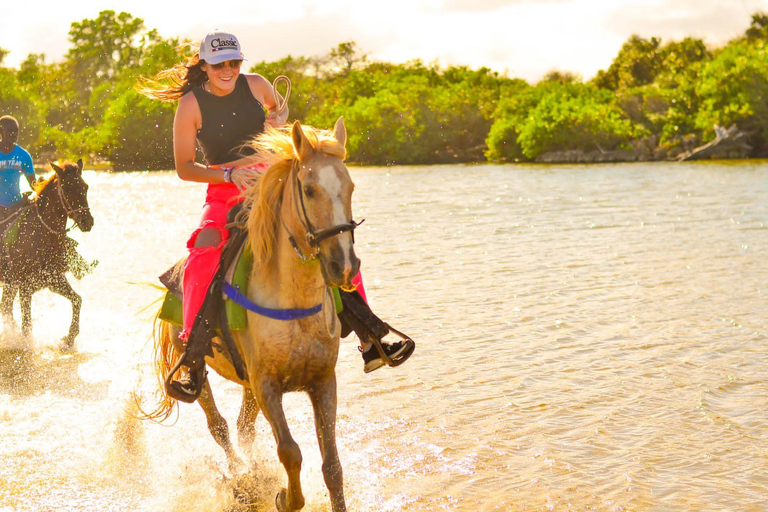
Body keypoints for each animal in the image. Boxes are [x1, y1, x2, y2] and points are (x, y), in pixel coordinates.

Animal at [0, 161, 94, 352]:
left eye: (85, 186)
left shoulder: (54, 280)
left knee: (5, 308)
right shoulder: (25, 286)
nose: (87, 222)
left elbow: (77, 300)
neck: (41, 234)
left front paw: (69, 339)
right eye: (67, 188)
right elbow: (27, 327)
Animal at [154, 119, 362, 508]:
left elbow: (332, 465)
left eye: (350, 186)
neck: (294, 304)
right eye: (309, 190)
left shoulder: (323, 382)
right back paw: (241, 479)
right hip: (198, 369)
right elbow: (290, 452)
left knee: (243, 427)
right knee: (219, 426)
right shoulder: (268, 386)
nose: (343, 265)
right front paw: (283, 498)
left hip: (247, 383)